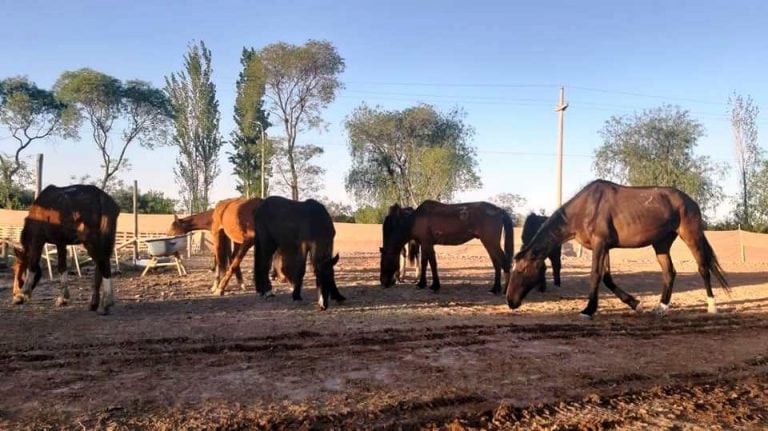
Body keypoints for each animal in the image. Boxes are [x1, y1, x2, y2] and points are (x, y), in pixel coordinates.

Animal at [10, 184, 120, 316]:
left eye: (18, 268)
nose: (14, 293)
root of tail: (102, 197)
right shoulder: (60, 243)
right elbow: (62, 267)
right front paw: (63, 298)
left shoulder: (37, 239)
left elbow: (32, 265)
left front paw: (22, 294)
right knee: (101, 265)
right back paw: (95, 303)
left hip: (90, 241)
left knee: (103, 263)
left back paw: (106, 303)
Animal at [380, 201, 512, 296]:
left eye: (384, 262)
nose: (383, 282)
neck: (415, 220)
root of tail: (499, 210)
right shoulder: (425, 244)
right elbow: (425, 263)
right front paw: (423, 284)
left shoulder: (427, 244)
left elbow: (431, 263)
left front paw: (434, 286)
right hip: (489, 244)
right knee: (497, 264)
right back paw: (495, 289)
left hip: (491, 243)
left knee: (504, 263)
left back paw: (505, 291)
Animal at [508, 179, 728, 318]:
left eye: (521, 270)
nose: (510, 301)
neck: (585, 208)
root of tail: (690, 201)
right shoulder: (604, 247)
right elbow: (607, 277)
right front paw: (635, 304)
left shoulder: (600, 244)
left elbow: (595, 275)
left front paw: (588, 310)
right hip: (661, 243)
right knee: (669, 272)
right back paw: (661, 308)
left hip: (691, 235)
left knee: (703, 268)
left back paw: (712, 307)